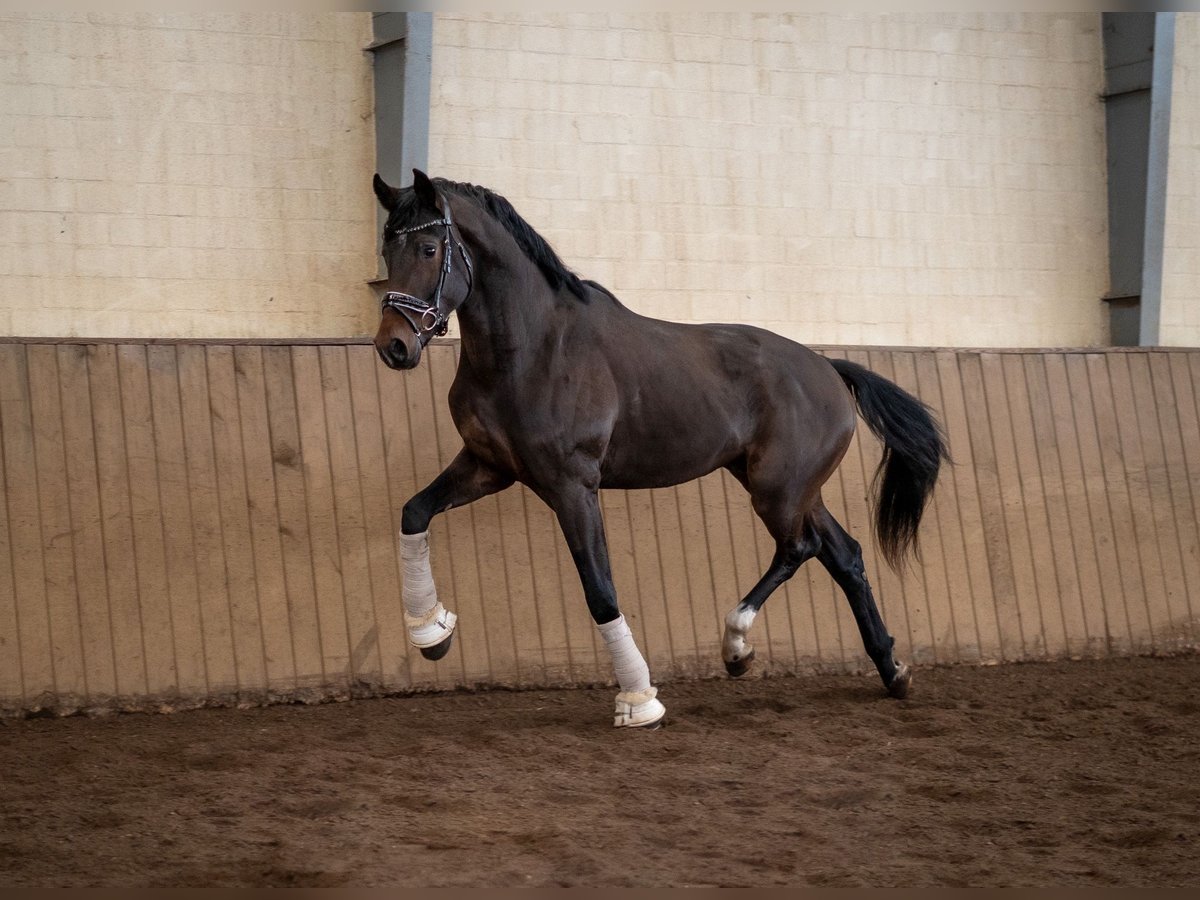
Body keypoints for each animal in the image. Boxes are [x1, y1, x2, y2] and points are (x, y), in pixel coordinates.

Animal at [372, 170, 945, 734]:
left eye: (428, 248)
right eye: (386, 249)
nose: (393, 346)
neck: (532, 349)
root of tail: (830, 369)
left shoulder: (571, 486)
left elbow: (600, 590)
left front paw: (639, 699)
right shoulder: (489, 467)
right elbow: (414, 512)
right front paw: (432, 634)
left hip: (777, 491)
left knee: (799, 548)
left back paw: (737, 647)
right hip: (790, 488)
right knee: (844, 555)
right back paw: (892, 671)